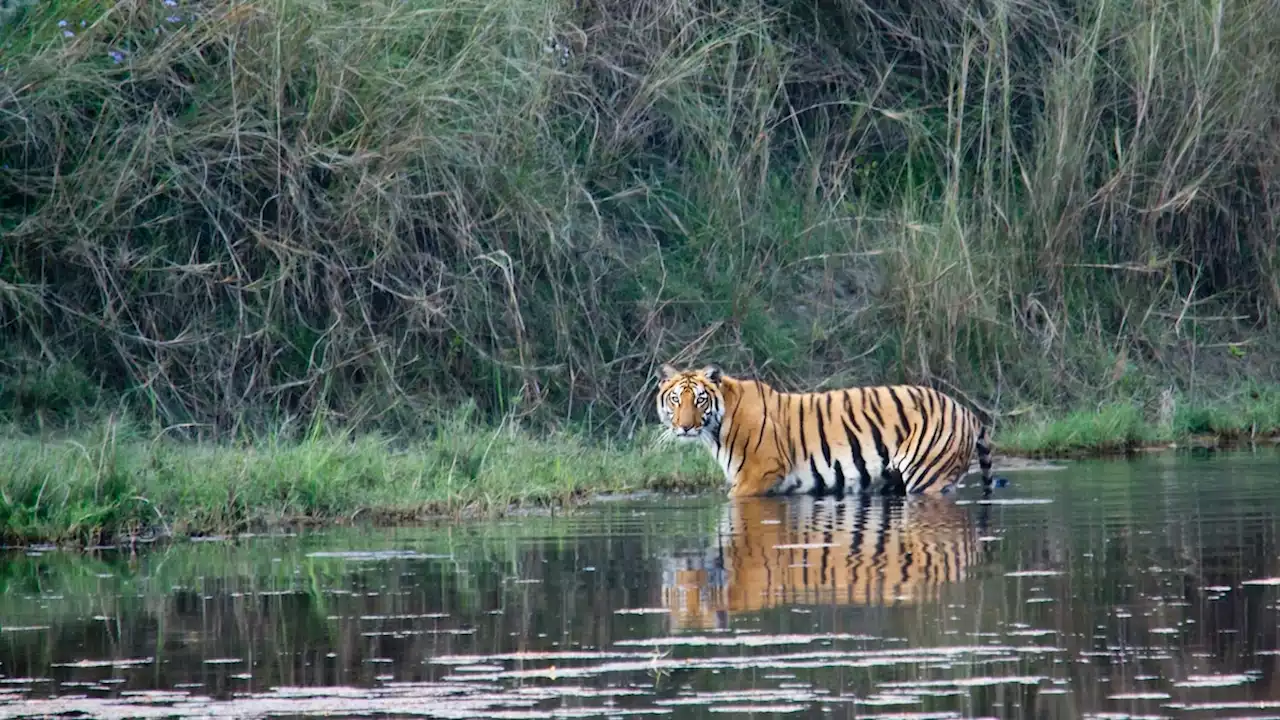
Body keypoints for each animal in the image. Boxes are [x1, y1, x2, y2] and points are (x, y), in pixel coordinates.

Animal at [655, 361, 1003, 497]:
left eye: (699, 400)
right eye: (676, 399)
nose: (685, 427)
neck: (716, 428)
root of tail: (967, 412)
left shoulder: (758, 475)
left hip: (927, 477)